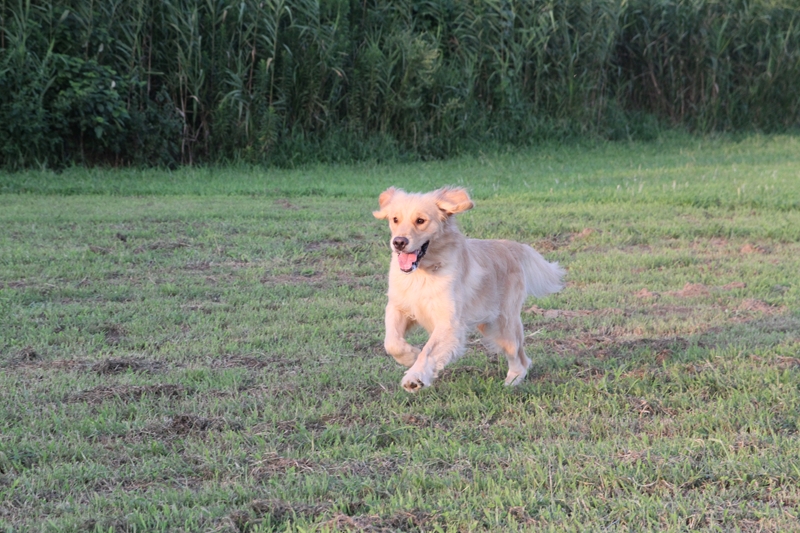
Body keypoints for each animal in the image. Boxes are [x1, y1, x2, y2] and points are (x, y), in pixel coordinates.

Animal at [373, 186, 565, 392]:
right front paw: (411, 356)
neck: (422, 272)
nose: (398, 242)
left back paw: (512, 380)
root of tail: (509, 246)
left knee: (518, 356)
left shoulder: (449, 321)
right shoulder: (398, 307)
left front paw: (414, 376)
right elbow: (392, 343)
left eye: (420, 220)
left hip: (502, 324)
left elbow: (428, 350)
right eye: (395, 219)